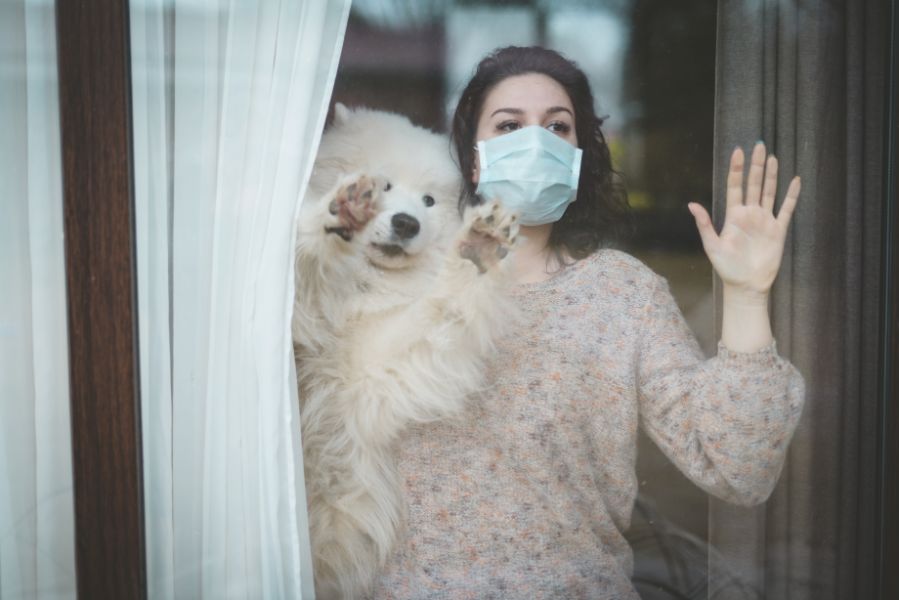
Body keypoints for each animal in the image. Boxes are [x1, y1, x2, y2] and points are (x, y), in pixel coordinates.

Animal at [294, 105, 516, 596]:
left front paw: (474, 251)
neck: (359, 286)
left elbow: (436, 305)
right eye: (386, 185)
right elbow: (304, 257)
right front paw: (340, 214)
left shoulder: (368, 371)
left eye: (429, 201)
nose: (406, 222)